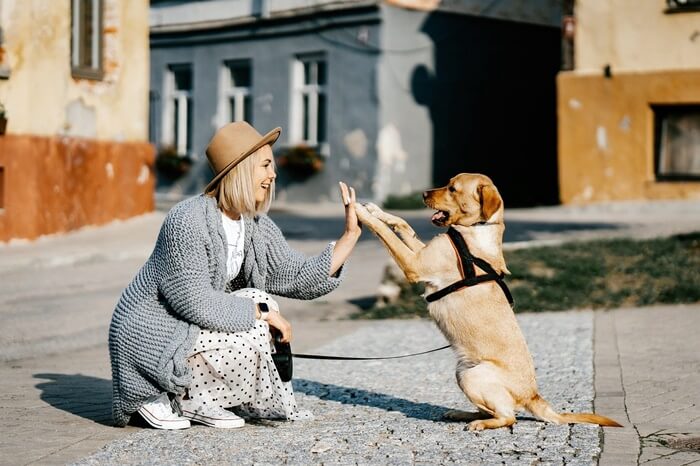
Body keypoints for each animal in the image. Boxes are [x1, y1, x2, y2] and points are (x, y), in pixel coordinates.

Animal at [356, 173, 616, 432]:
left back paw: (480, 423)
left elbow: (386, 233)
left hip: (473, 376)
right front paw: (376, 210)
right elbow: (402, 224)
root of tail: (533, 396)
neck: (475, 230)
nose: (423, 194)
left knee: (508, 417)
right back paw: (461, 414)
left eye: (452, 189)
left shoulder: (415, 264)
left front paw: (360, 213)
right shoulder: (421, 253)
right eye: (447, 183)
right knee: (491, 410)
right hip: (462, 372)